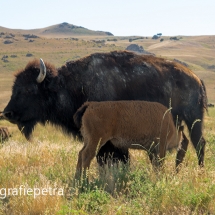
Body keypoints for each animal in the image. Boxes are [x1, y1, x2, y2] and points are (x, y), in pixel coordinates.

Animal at [1, 51, 207, 167]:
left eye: (28, 89)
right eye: (14, 87)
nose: (8, 113)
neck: (70, 85)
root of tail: (196, 78)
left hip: (193, 119)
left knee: (199, 144)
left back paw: (199, 170)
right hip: (178, 122)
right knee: (183, 144)